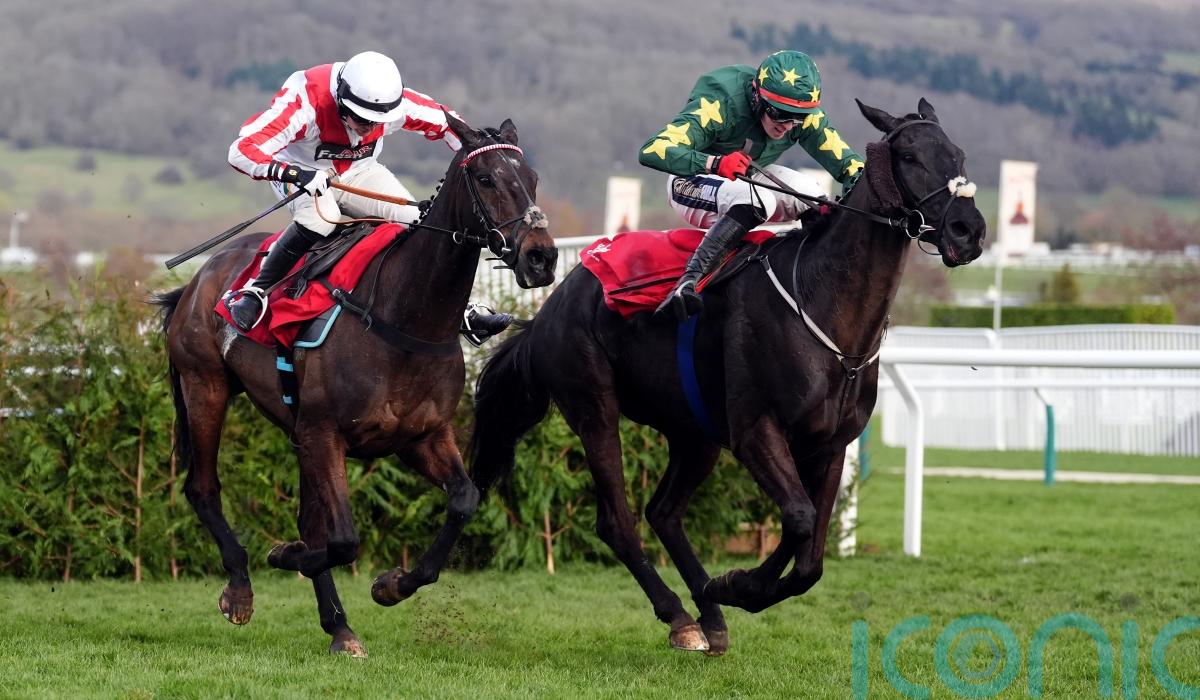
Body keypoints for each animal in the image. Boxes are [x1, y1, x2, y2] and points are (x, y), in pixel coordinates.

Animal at [153, 115, 557, 657]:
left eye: (531, 178)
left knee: (305, 517)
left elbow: (462, 500)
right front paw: (284, 556)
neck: (405, 317)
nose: (541, 258)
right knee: (202, 487)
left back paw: (339, 627)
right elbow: (343, 539)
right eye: (487, 179)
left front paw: (391, 585)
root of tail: (197, 281)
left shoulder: (421, 436)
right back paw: (240, 589)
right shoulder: (326, 434)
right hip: (206, 387)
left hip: (293, 426)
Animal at [468, 99, 986, 655]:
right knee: (618, 522)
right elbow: (799, 519)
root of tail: (546, 311)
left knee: (664, 513)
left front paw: (731, 588)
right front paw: (739, 585)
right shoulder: (756, 431)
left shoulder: (831, 445)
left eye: (959, 154)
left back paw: (709, 615)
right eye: (909, 155)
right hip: (594, 409)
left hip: (694, 433)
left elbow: (811, 558)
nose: (968, 230)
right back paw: (679, 614)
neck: (822, 304)